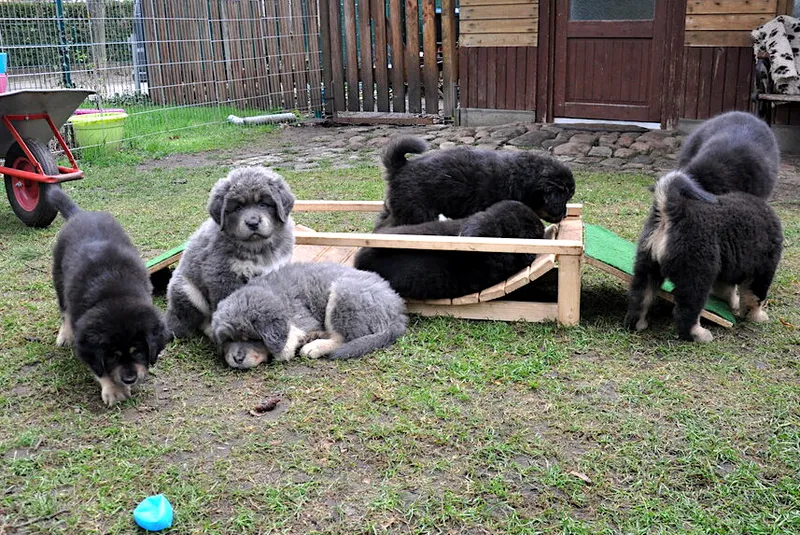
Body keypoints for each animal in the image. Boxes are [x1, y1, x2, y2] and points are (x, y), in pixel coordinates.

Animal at [48, 188, 170, 406]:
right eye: (112, 355)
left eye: (138, 351)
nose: (129, 379)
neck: (115, 294)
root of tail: (80, 213)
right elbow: (99, 367)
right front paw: (114, 390)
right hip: (59, 277)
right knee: (64, 311)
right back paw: (64, 335)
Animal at [165, 167, 295, 339]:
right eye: (238, 207)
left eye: (263, 204)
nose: (253, 223)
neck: (258, 246)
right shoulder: (223, 277)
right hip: (188, 291)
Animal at [211, 263, 407, 368]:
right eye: (228, 340)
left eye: (253, 338)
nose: (237, 359)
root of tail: (397, 311)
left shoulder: (301, 316)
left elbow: (287, 339)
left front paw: (286, 347)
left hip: (343, 294)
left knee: (343, 338)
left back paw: (314, 347)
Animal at [375, 136, 575, 229]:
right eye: (564, 198)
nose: (565, 215)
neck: (524, 179)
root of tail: (401, 166)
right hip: (418, 212)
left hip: (399, 210)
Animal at [624, 171, 783, 342]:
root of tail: (671, 212)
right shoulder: (762, 270)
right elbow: (753, 298)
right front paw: (757, 316)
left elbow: (726, 290)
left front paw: (733, 303)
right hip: (697, 275)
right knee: (685, 311)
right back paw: (699, 334)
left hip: (647, 266)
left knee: (640, 298)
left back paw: (638, 324)